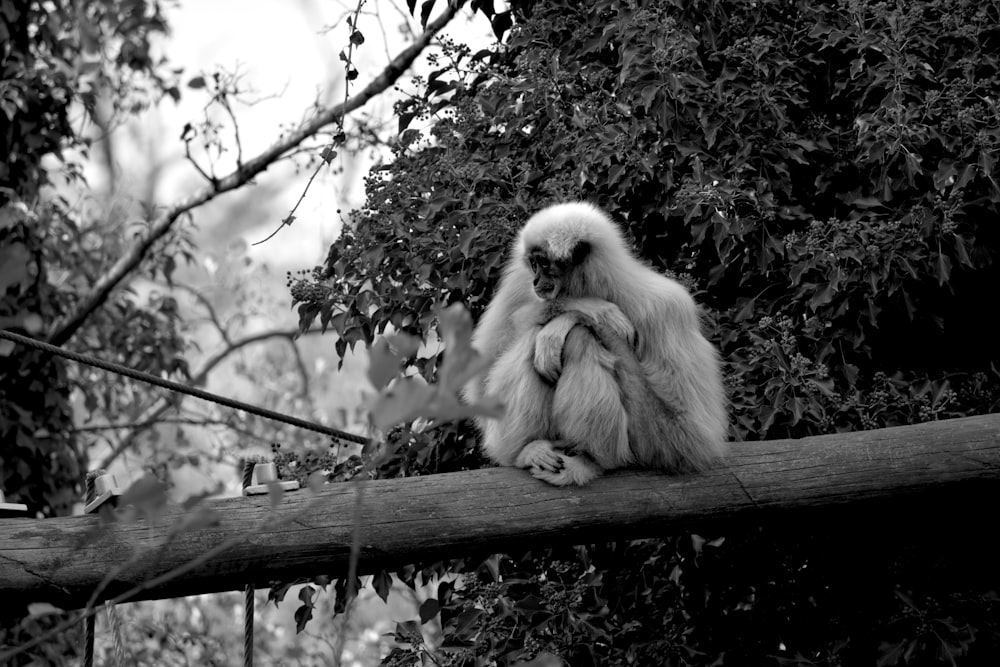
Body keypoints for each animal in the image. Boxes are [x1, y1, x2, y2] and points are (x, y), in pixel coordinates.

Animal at [468, 200, 728, 486]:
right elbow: (479, 384)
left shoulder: (665, 307)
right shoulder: (518, 283)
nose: (536, 280)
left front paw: (575, 316)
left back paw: (589, 460)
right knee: (536, 339)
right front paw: (591, 308)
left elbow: (688, 436)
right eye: (533, 264)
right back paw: (527, 450)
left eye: (544, 264)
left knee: (578, 337)